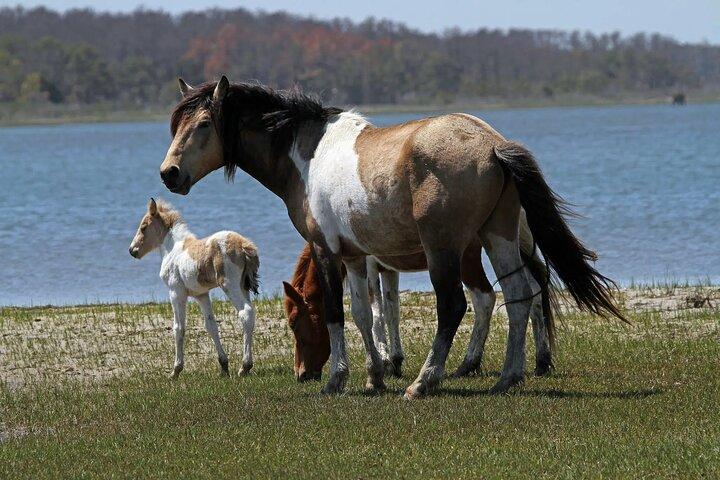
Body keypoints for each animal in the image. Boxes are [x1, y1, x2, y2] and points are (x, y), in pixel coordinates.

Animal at [129, 198, 260, 378]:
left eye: (143, 227)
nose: (132, 250)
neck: (173, 249)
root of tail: (244, 245)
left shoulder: (176, 292)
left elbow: (178, 328)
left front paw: (175, 371)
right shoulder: (201, 295)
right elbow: (211, 326)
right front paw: (224, 367)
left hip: (229, 285)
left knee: (245, 312)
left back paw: (245, 366)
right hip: (243, 286)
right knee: (250, 314)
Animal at [283, 214, 555, 382]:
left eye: (294, 324)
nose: (301, 374)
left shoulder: (369, 267)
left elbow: (376, 312)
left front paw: (384, 359)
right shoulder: (388, 269)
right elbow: (391, 310)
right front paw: (395, 360)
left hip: (471, 259)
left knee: (486, 300)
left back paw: (470, 364)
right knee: (533, 291)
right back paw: (541, 361)